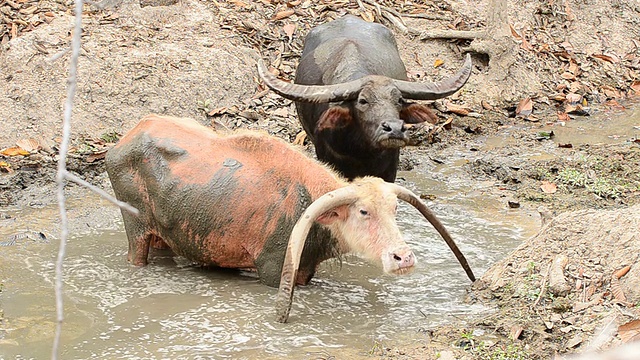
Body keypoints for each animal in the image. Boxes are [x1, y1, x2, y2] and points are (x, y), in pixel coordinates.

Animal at [106, 114, 476, 322]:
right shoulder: (272, 271)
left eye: (395, 209)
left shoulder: (306, 272)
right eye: (363, 211)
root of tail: (127, 137)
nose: (403, 258)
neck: (313, 213)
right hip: (136, 230)